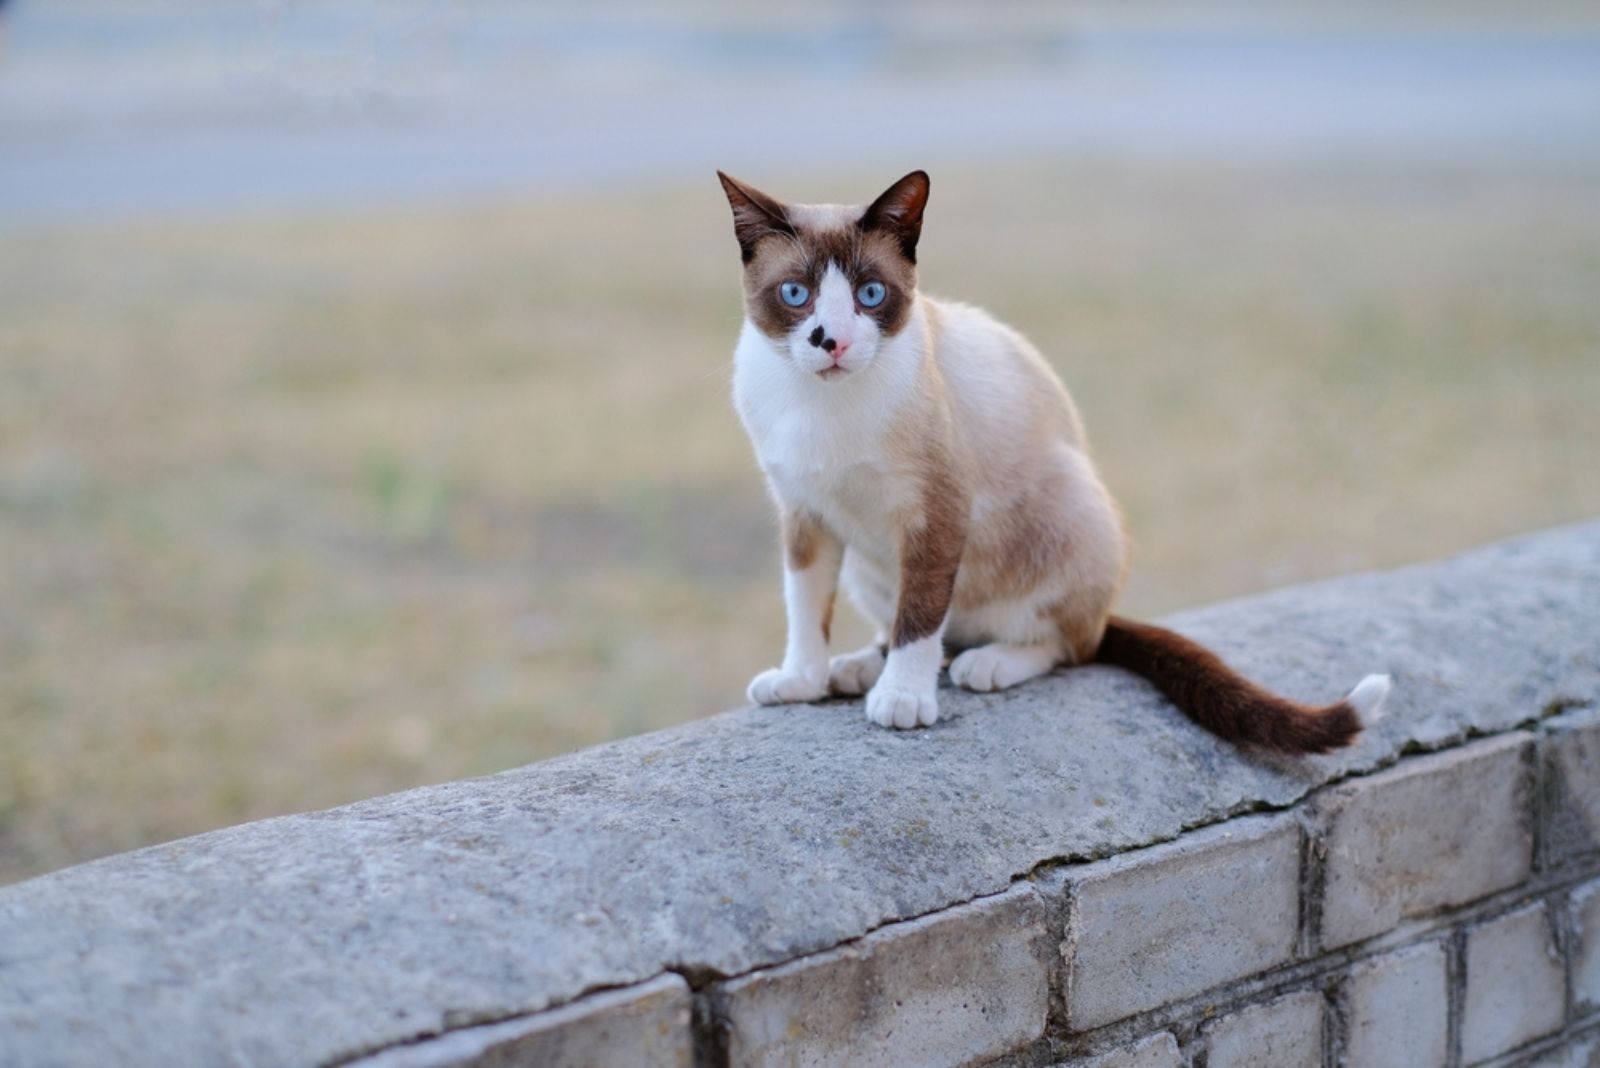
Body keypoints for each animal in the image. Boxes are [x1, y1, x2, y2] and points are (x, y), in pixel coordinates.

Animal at [716, 171, 1388, 751]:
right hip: (867, 567)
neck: (820, 405)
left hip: (1071, 506)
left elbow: (921, 617)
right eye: (796, 295)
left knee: (1064, 646)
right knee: (927, 629)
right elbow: (806, 609)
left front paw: (903, 700)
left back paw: (983, 664)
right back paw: (854, 670)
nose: (832, 342)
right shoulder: (804, 513)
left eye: (870, 295)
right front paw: (801, 681)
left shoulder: (938, 512)